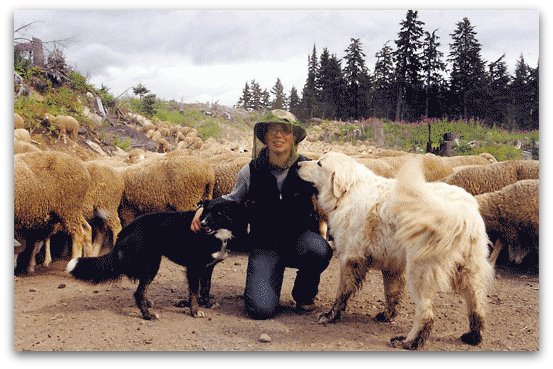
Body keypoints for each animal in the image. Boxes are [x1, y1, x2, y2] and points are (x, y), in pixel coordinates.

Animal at [67, 198, 244, 320]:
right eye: (205, 212)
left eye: (219, 213)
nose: (202, 223)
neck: (218, 234)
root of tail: (125, 231)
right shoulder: (194, 268)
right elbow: (194, 292)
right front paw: (195, 310)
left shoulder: (208, 268)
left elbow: (206, 288)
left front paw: (207, 304)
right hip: (152, 266)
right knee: (138, 292)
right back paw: (148, 315)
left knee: (141, 290)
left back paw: (148, 304)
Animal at [300, 151, 494, 350]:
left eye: (319, 163)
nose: (298, 164)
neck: (350, 191)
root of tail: (461, 209)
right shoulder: (391, 266)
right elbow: (391, 294)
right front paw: (387, 316)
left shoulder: (350, 258)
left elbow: (342, 292)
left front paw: (330, 315)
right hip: (469, 271)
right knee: (476, 305)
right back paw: (473, 336)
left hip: (420, 272)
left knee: (426, 314)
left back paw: (408, 342)